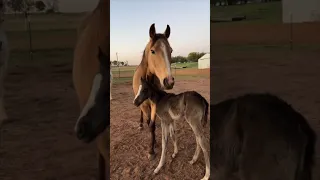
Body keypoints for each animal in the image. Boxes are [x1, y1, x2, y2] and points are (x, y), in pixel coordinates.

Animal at [132, 23, 175, 160]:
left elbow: (152, 125)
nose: (169, 81)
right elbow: (148, 123)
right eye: (153, 51)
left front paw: (153, 146)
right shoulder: (143, 103)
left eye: (170, 50)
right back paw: (140, 124)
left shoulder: (154, 103)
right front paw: (151, 150)